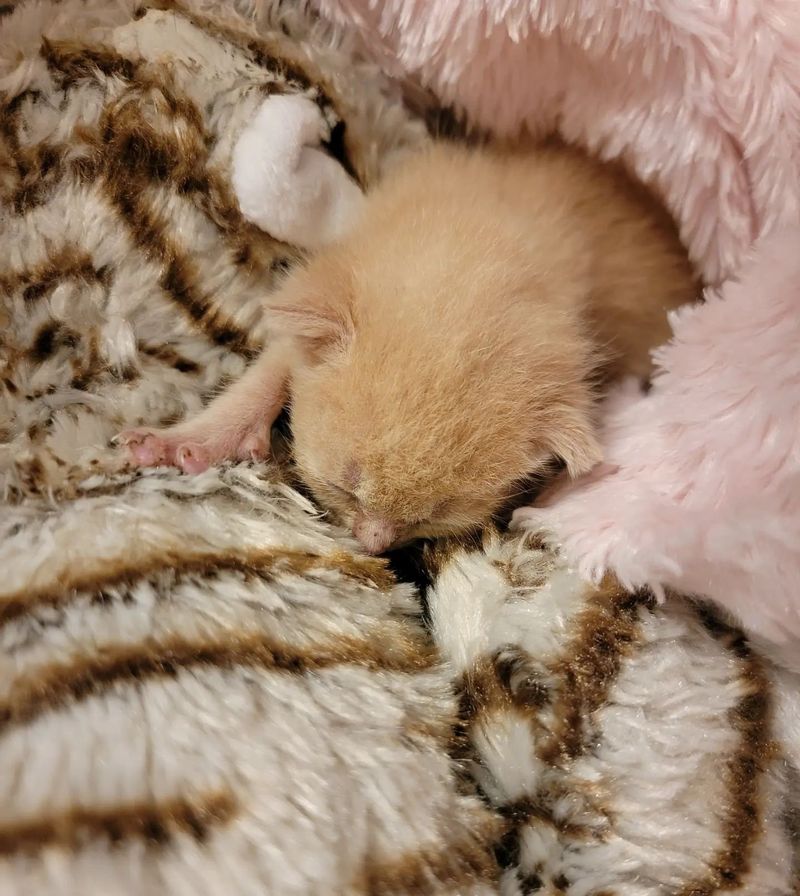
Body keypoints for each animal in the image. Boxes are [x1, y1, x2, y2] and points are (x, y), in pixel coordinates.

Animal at [115, 140, 696, 552]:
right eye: (346, 488)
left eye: (430, 517)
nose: (374, 545)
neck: (476, 236)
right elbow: (264, 377)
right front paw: (188, 440)